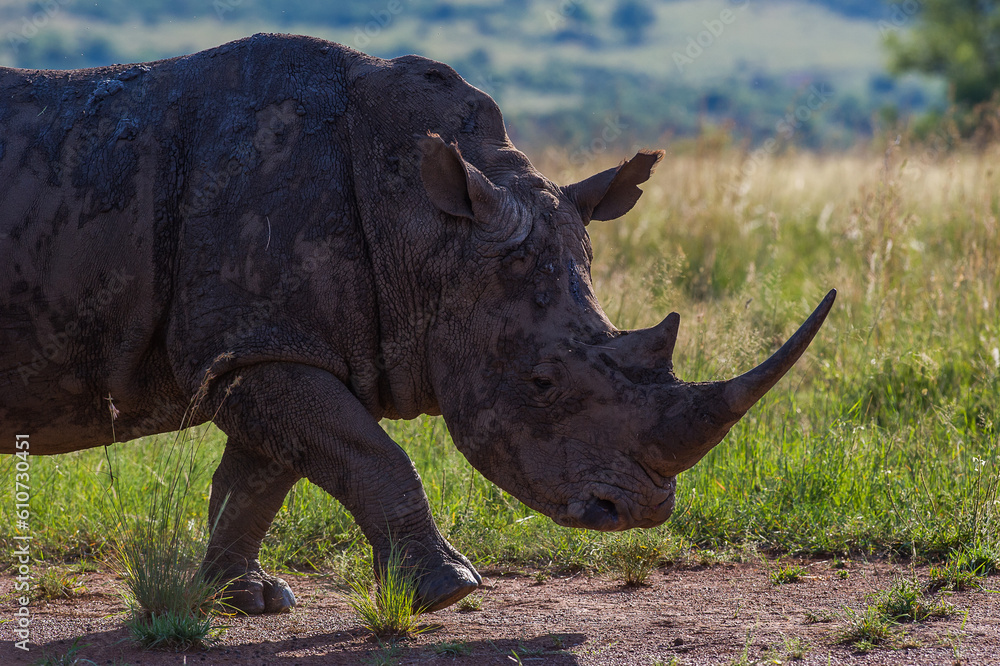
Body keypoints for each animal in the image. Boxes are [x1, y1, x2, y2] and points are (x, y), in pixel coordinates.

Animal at [0, 33, 834, 613]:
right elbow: (369, 455)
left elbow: (261, 477)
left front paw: (245, 599)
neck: (424, 229)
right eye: (541, 381)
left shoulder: (270, 345)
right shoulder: (253, 348)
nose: (639, 512)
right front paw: (449, 589)